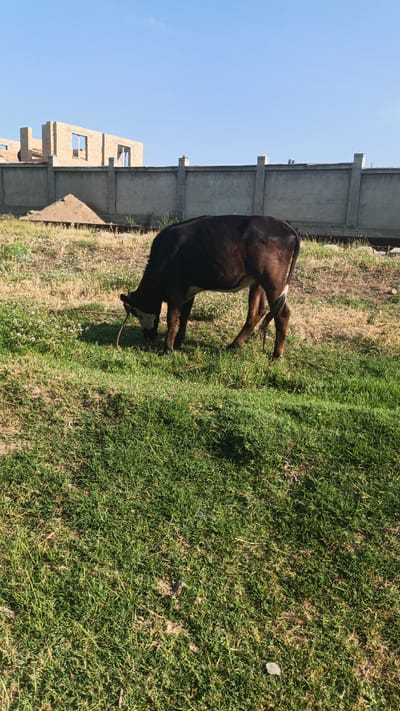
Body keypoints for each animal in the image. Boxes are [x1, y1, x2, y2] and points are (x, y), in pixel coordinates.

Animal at [119, 215, 300, 360]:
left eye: (136, 313)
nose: (147, 336)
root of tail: (285, 226)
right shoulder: (188, 292)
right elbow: (184, 317)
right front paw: (178, 343)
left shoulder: (175, 291)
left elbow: (172, 319)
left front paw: (167, 349)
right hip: (257, 282)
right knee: (256, 312)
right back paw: (234, 344)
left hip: (272, 281)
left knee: (282, 313)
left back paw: (276, 355)